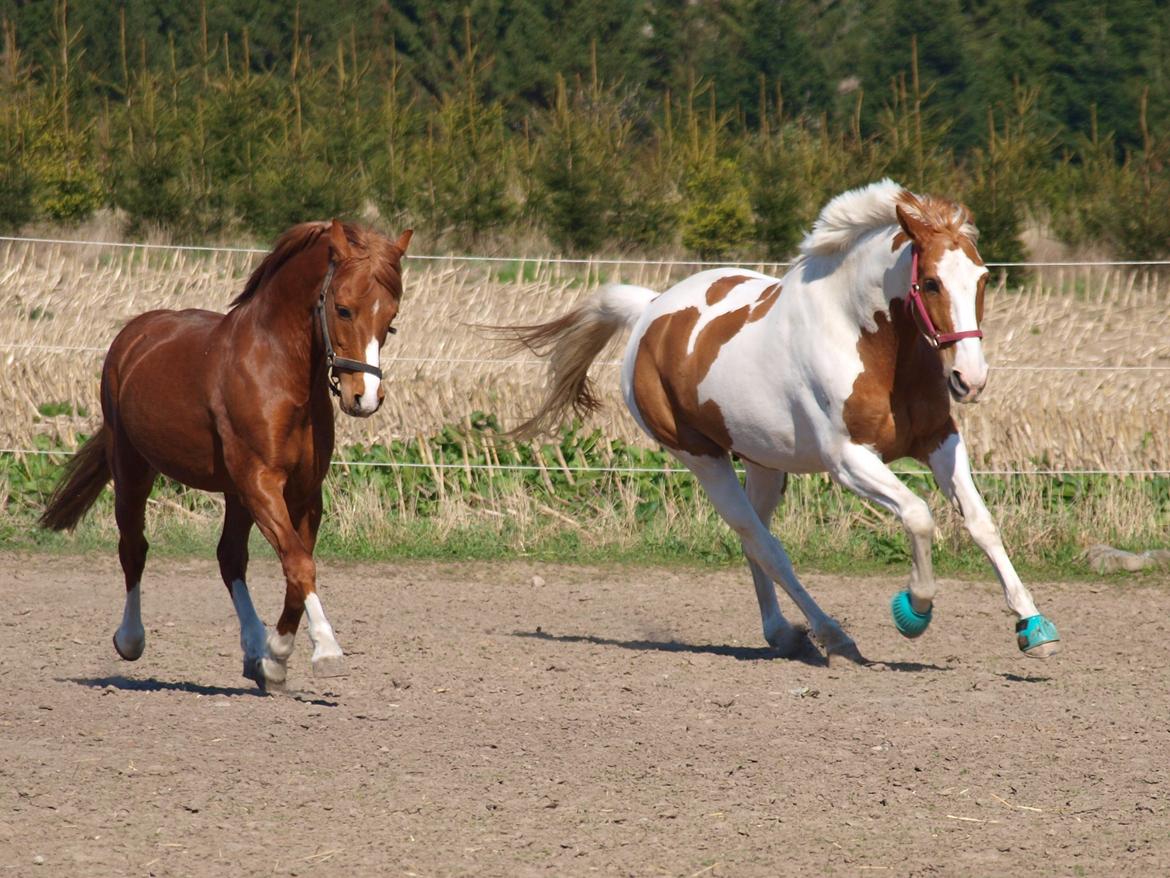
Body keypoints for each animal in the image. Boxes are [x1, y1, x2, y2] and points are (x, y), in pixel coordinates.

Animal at [41, 218, 414, 688]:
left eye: (391, 319)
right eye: (343, 309)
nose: (364, 398)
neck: (278, 371)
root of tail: (134, 335)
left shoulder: (304, 492)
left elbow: (296, 566)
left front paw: (276, 656)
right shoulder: (261, 482)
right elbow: (299, 563)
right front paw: (326, 650)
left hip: (234, 494)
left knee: (229, 557)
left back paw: (255, 649)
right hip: (133, 469)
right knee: (134, 548)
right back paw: (130, 640)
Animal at [512, 182, 1062, 664]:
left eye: (983, 278)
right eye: (930, 282)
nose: (970, 379)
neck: (871, 344)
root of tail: (650, 313)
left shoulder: (938, 441)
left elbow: (981, 523)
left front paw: (1033, 628)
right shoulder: (848, 461)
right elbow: (918, 515)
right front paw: (914, 611)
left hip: (763, 463)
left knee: (754, 540)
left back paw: (783, 634)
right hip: (702, 458)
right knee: (764, 544)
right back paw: (832, 637)